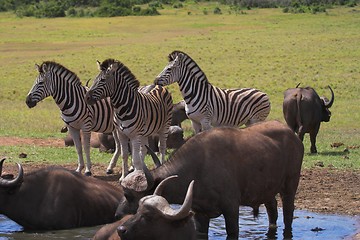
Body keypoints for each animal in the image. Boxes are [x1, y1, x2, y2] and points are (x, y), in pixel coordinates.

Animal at [115, 121, 304, 239]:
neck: (199, 167)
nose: (117, 215)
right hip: (266, 190)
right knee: (273, 211)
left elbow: (232, 231)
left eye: (128, 195)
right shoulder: (201, 215)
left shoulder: (231, 209)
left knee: (288, 214)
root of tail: (293, 136)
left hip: (291, 184)